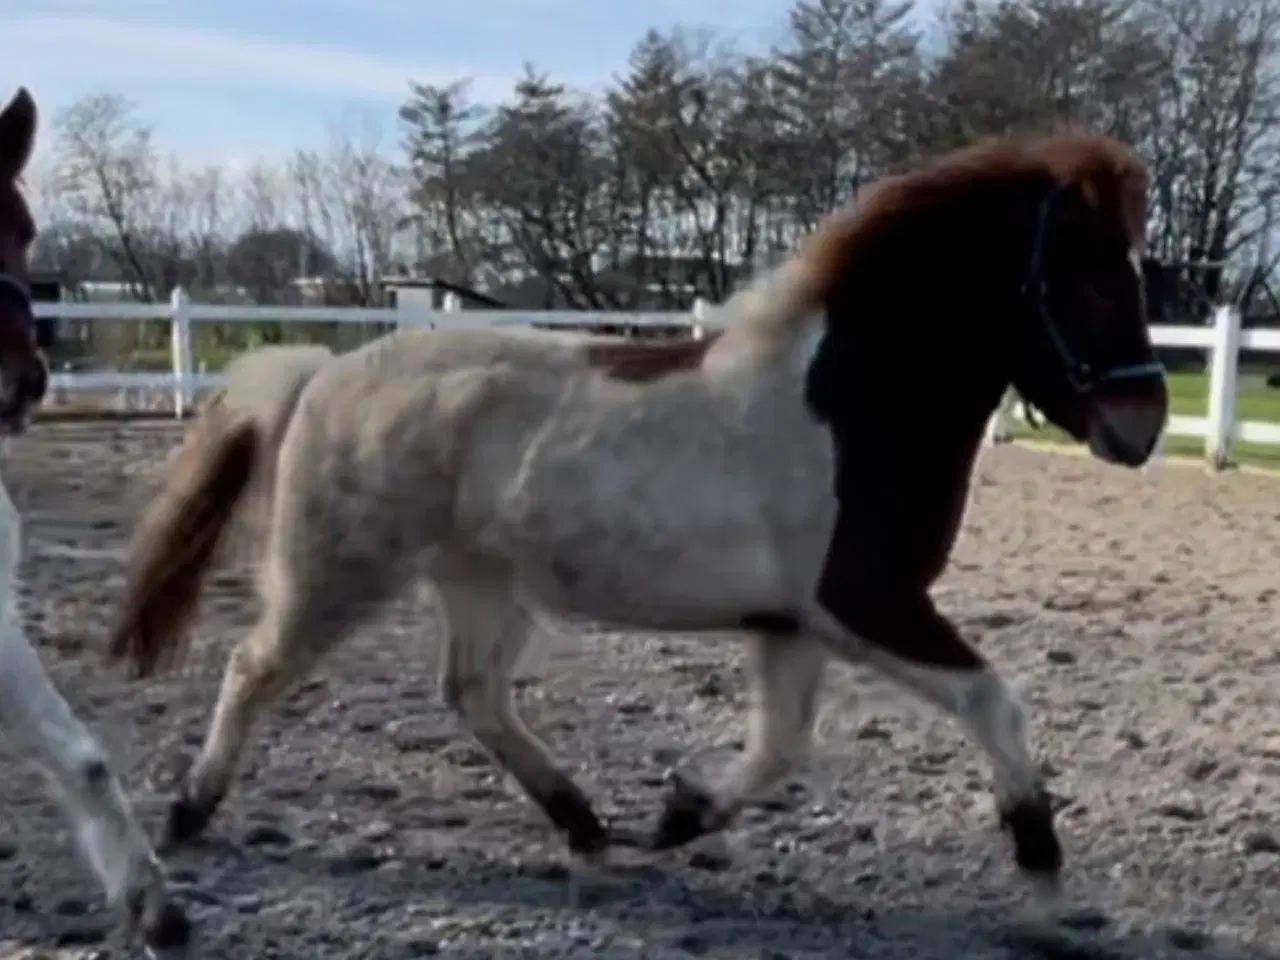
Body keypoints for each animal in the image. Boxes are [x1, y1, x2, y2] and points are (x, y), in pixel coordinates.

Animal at [107, 133, 1172, 896]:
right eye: (1088, 277)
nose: (1145, 424)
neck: (849, 404)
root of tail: (323, 372)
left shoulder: (796, 623)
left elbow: (781, 746)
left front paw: (681, 814)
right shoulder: (866, 604)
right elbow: (994, 700)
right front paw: (1039, 861)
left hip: (482, 582)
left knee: (474, 694)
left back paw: (587, 826)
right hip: (339, 572)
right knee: (255, 669)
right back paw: (188, 815)